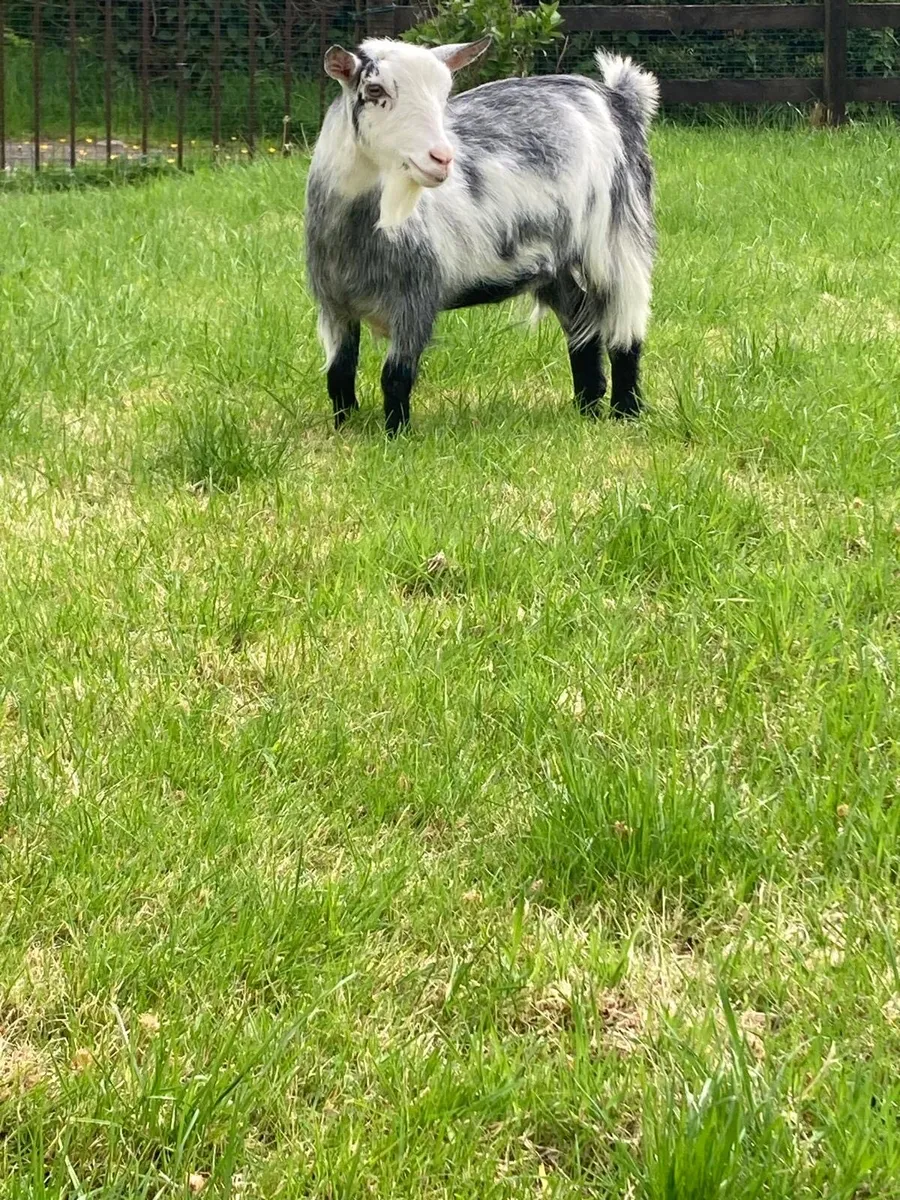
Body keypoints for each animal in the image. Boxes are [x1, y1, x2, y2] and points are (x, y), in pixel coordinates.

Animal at [304, 38, 658, 435]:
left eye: (444, 94)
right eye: (375, 90)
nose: (442, 158)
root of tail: (617, 97)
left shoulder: (416, 298)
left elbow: (395, 375)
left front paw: (396, 435)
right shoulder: (333, 305)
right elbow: (339, 372)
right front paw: (343, 428)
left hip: (618, 235)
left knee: (625, 324)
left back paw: (625, 411)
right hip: (556, 262)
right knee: (582, 321)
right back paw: (587, 407)